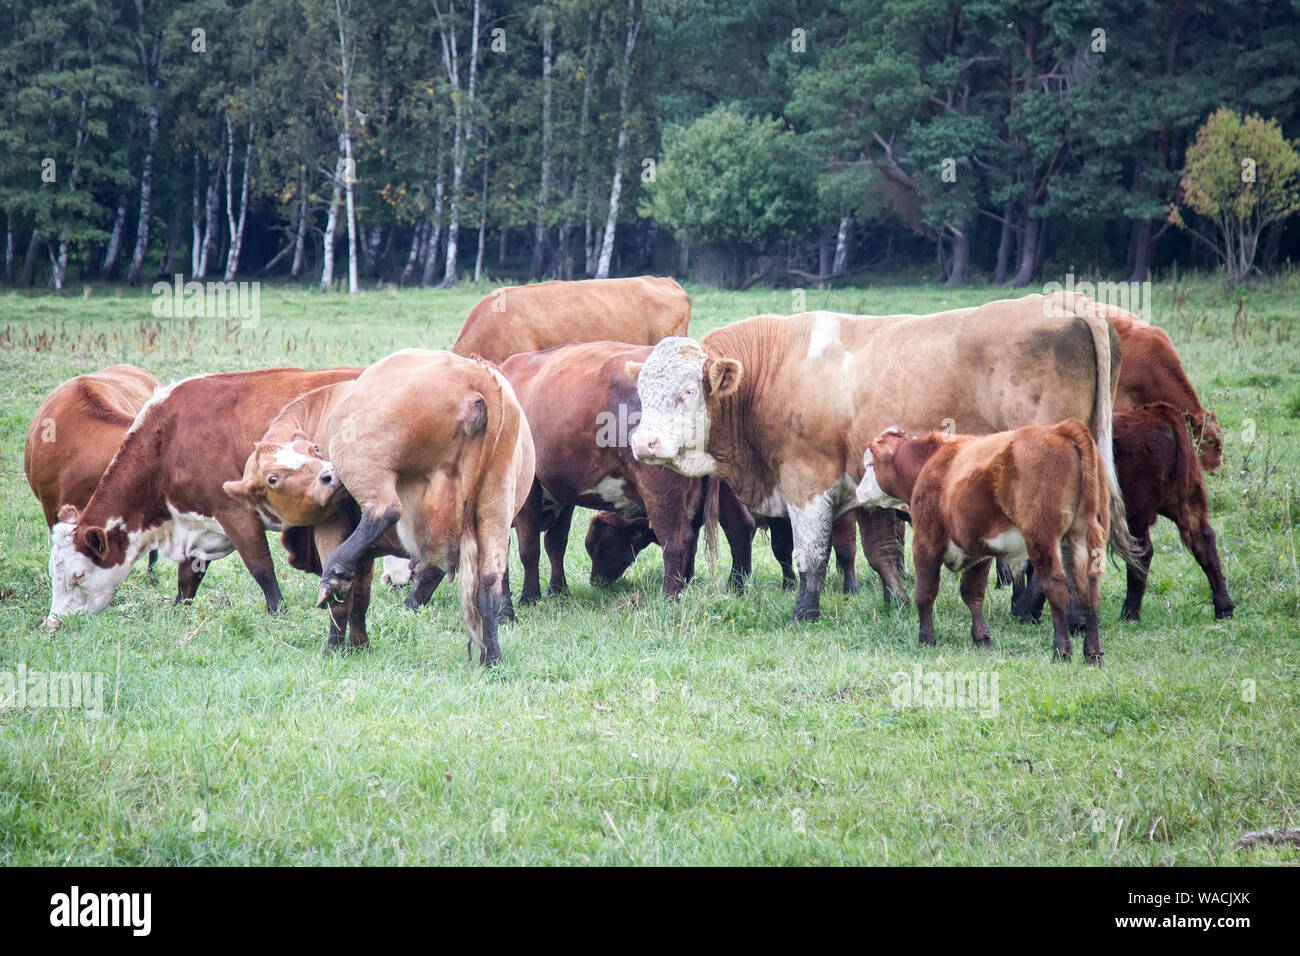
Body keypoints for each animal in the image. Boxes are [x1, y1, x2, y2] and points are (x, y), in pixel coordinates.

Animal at [45, 366, 362, 625]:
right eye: (53, 575)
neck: (170, 438)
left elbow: (261, 567)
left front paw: (277, 612)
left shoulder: (234, 511)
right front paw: (177, 611)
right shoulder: (199, 525)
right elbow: (188, 579)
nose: (54, 623)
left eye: (78, 575)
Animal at [313, 350, 534, 665]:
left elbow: (346, 599)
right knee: (490, 579)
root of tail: (476, 373)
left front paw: (334, 648)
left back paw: (333, 575)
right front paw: (356, 645)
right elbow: (360, 592)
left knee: (386, 510)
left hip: (361, 460)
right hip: (496, 503)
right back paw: (492, 660)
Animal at [627, 295, 1136, 624]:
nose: (644, 443)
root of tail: (1068, 307)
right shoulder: (865, 483)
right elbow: (881, 554)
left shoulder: (806, 480)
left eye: (686, 391)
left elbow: (812, 552)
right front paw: (899, 603)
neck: (773, 370)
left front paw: (804, 612)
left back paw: (1040, 612)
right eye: (642, 391)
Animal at [858, 420, 1110, 663]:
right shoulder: (979, 550)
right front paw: (982, 638)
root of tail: (1061, 429)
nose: (858, 492)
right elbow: (973, 592)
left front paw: (926, 638)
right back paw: (1093, 654)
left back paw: (1061, 651)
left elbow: (925, 592)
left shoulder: (925, 542)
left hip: (1041, 536)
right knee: (1088, 589)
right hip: (1082, 535)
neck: (930, 463)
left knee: (1056, 586)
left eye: (869, 465)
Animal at [1012, 402, 1234, 624]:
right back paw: (1224, 608)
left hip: (1135, 514)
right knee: (1204, 543)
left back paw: (1129, 613)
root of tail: (1159, 412)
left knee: (1143, 554)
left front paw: (1026, 611)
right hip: (1190, 501)